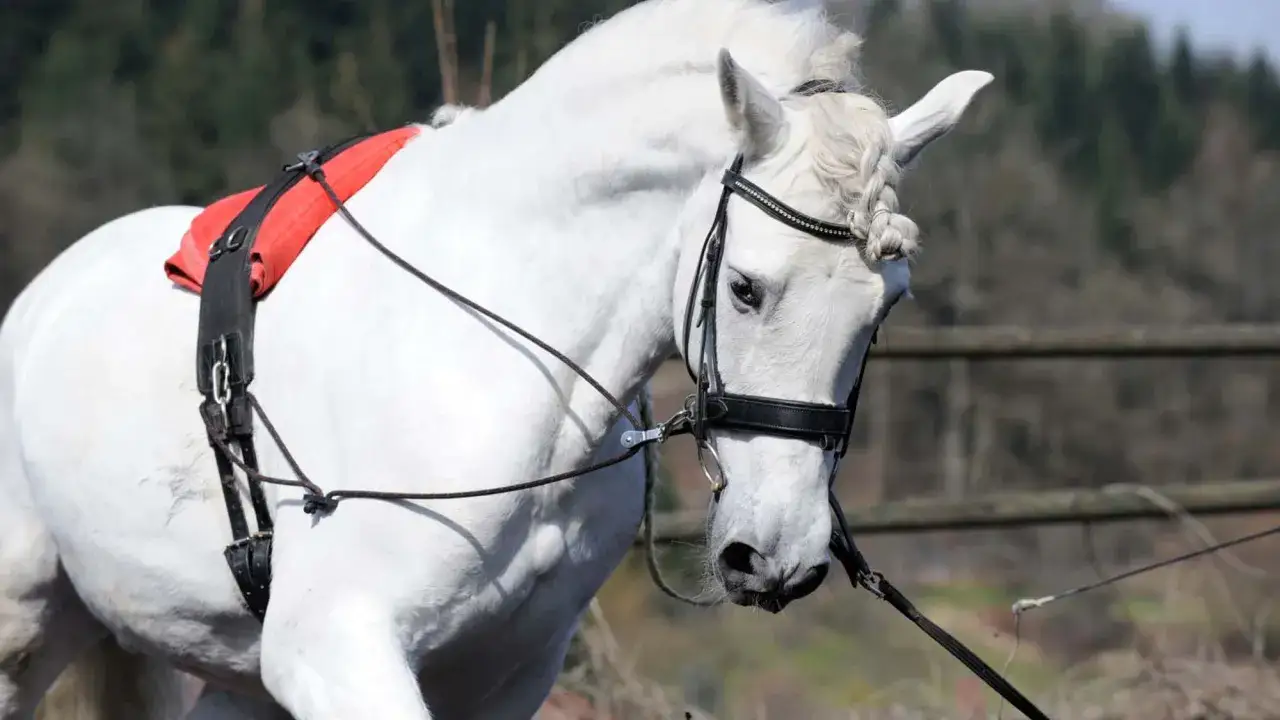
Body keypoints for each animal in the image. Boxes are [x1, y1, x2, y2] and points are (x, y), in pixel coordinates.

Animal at [0, 0, 993, 717]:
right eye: (746, 288)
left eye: (887, 305)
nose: (778, 553)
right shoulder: (335, 648)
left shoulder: (504, 674)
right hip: (27, 632)